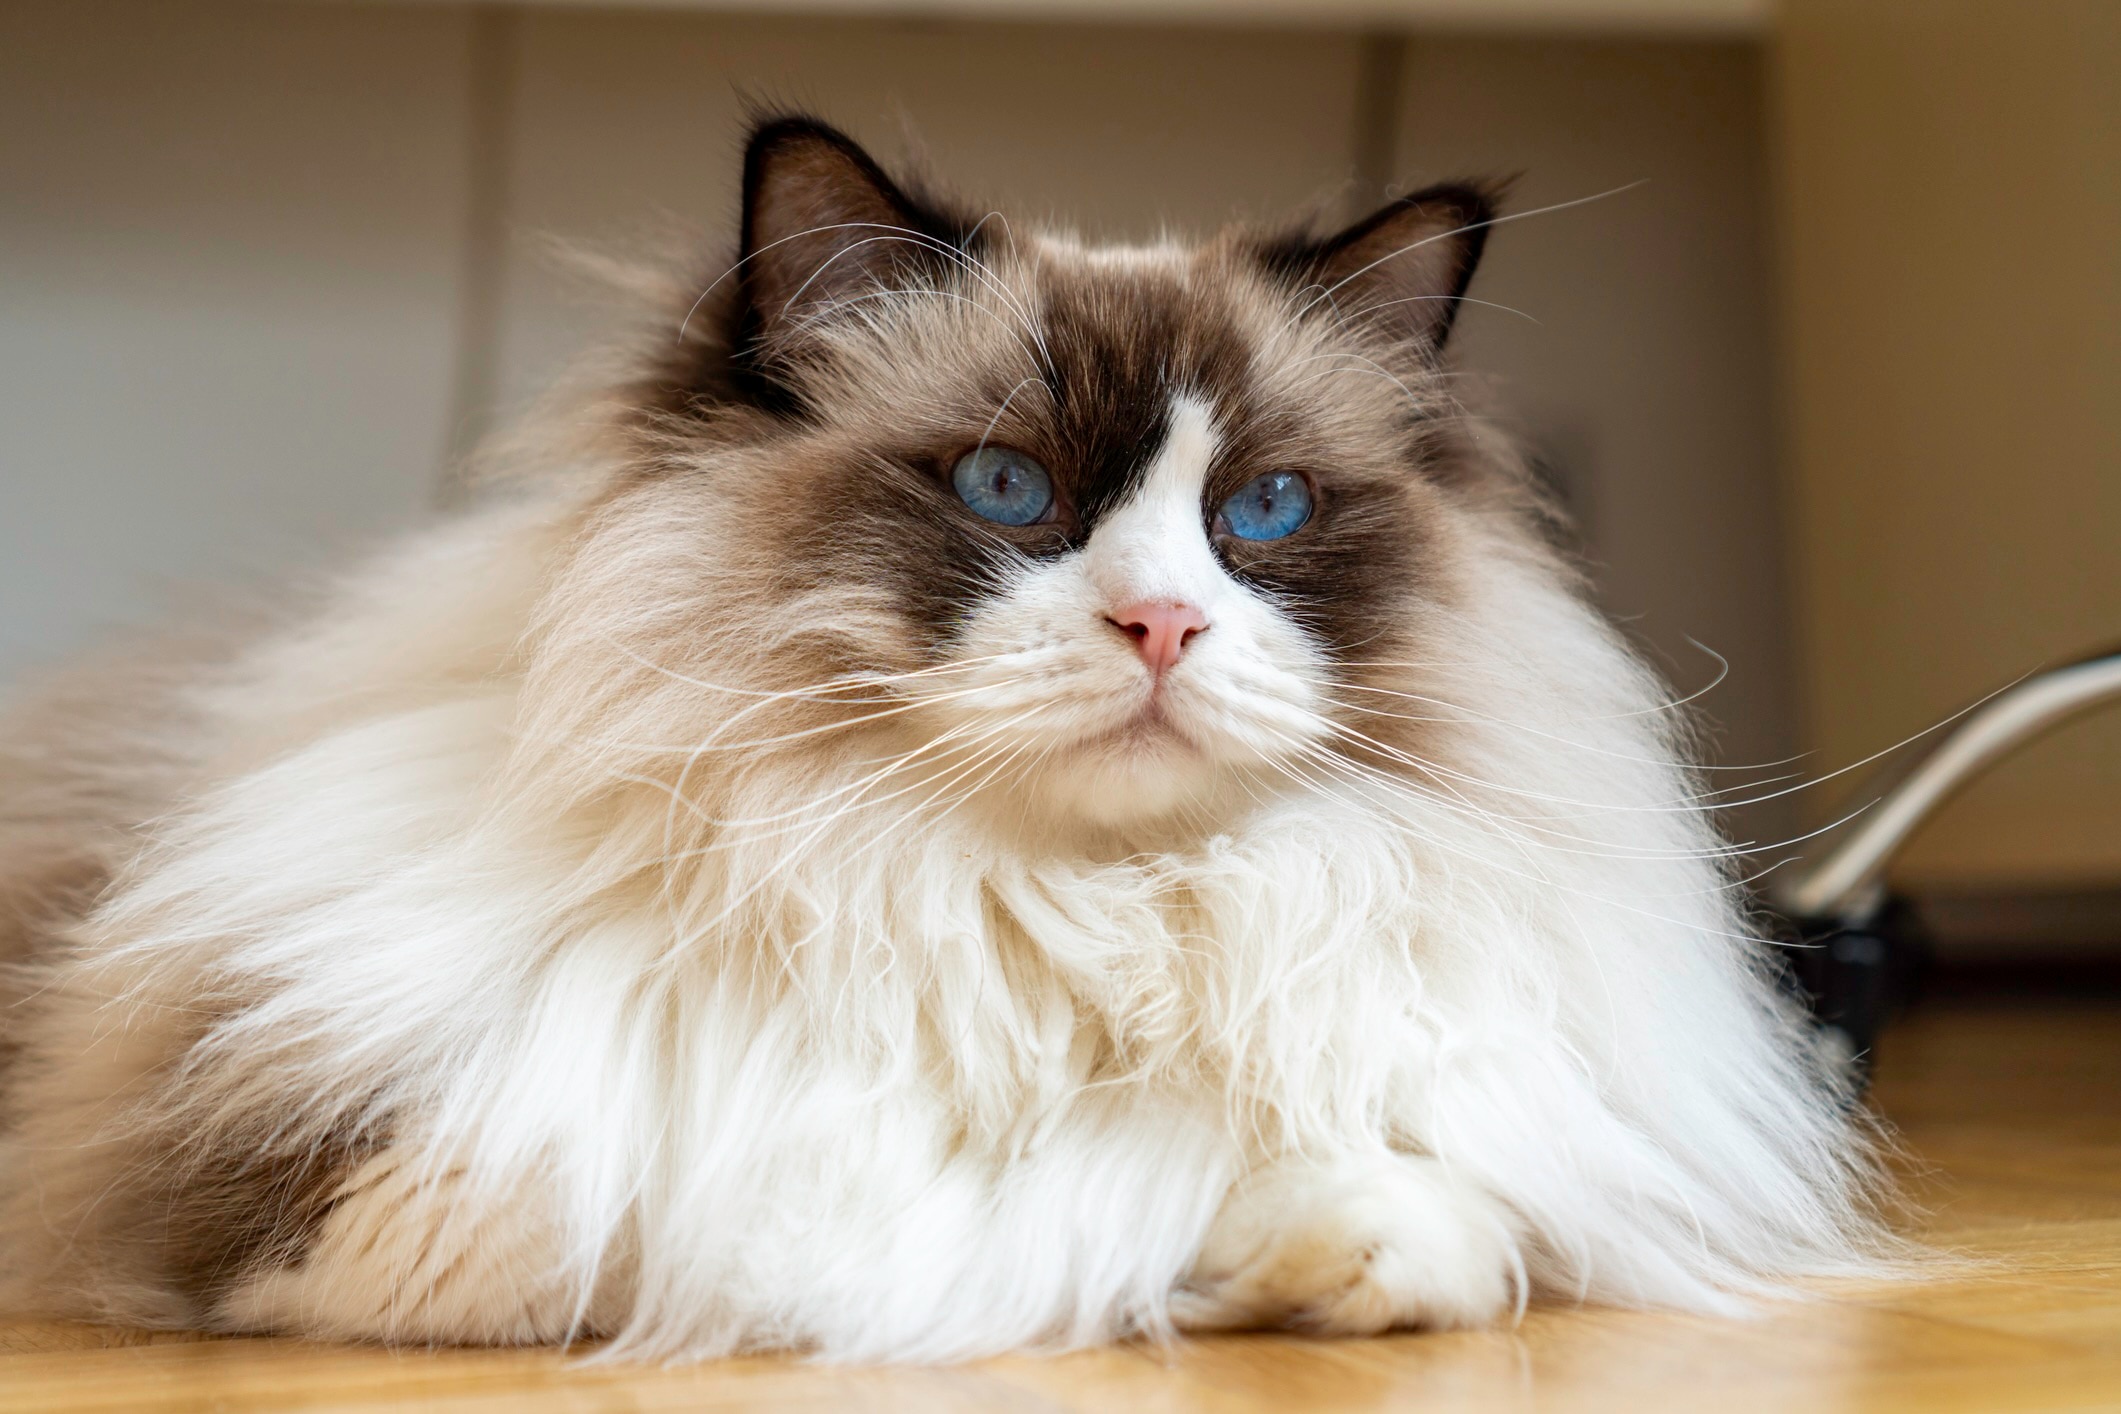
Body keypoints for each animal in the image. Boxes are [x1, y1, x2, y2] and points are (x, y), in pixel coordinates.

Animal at [0, 116, 1891, 1356]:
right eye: (1006, 490)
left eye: (1264, 511)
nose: (1164, 623)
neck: (1023, 909)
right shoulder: (317, 1179)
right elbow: (650, 1206)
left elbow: (1422, 1214)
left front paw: (1268, 1250)